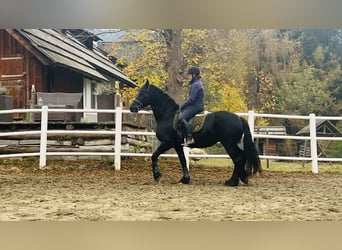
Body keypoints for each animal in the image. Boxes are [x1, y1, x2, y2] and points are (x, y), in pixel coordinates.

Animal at [129, 80, 262, 186]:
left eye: (142, 93)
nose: (132, 108)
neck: (168, 115)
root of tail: (239, 118)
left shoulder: (168, 143)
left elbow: (154, 155)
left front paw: (157, 176)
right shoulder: (177, 145)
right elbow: (182, 160)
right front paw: (185, 179)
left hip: (228, 144)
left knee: (238, 158)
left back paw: (232, 181)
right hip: (232, 144)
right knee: (242, 156)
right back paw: (242, 178)